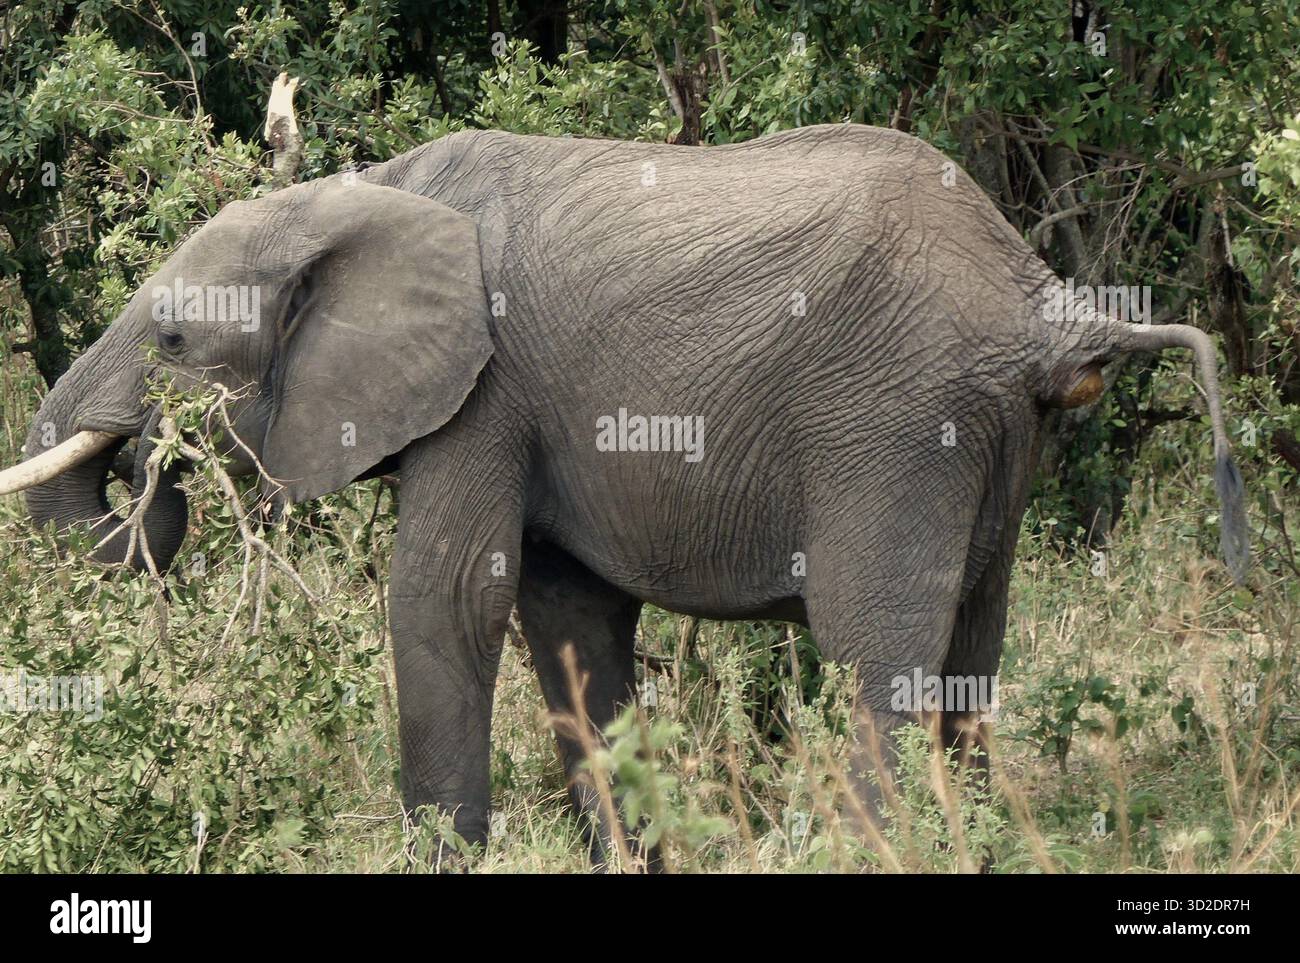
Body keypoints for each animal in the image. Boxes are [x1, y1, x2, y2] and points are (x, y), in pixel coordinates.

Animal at [0, 123, 1248, 857]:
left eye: (171, 338)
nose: (147, 471)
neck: (355, 196)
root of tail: (1045, 305)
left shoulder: (484, 392)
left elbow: (447, 600)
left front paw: (443, 859)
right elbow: (567, 621)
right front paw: (623, 854)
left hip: (896, 422)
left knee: (875, 643)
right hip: (992, 432)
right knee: (975, 639)